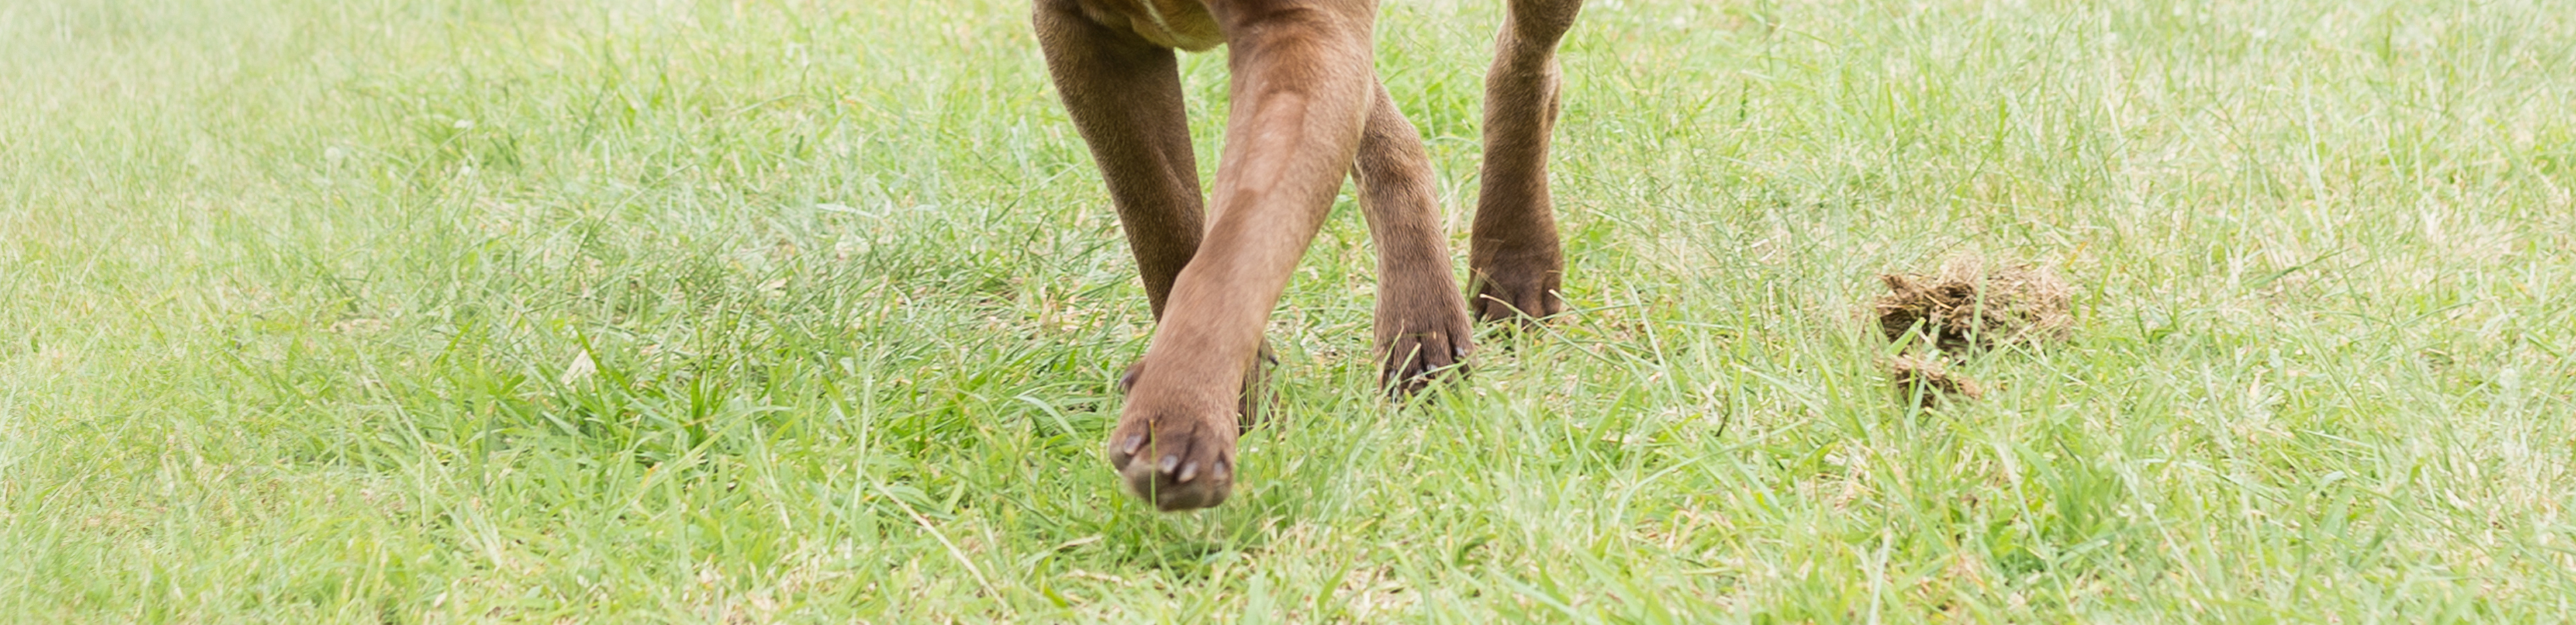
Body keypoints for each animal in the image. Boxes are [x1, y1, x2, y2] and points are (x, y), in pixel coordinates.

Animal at [1034, 0, 1582, 510]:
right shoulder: (1086, 35)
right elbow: (1161, 218)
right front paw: (1239, 397)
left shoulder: (1301, 35)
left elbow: (1238, 243)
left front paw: (1185, 414)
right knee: (1390, 131)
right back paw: (1422, 323)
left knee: (1527, 60)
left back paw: (1514, 261)